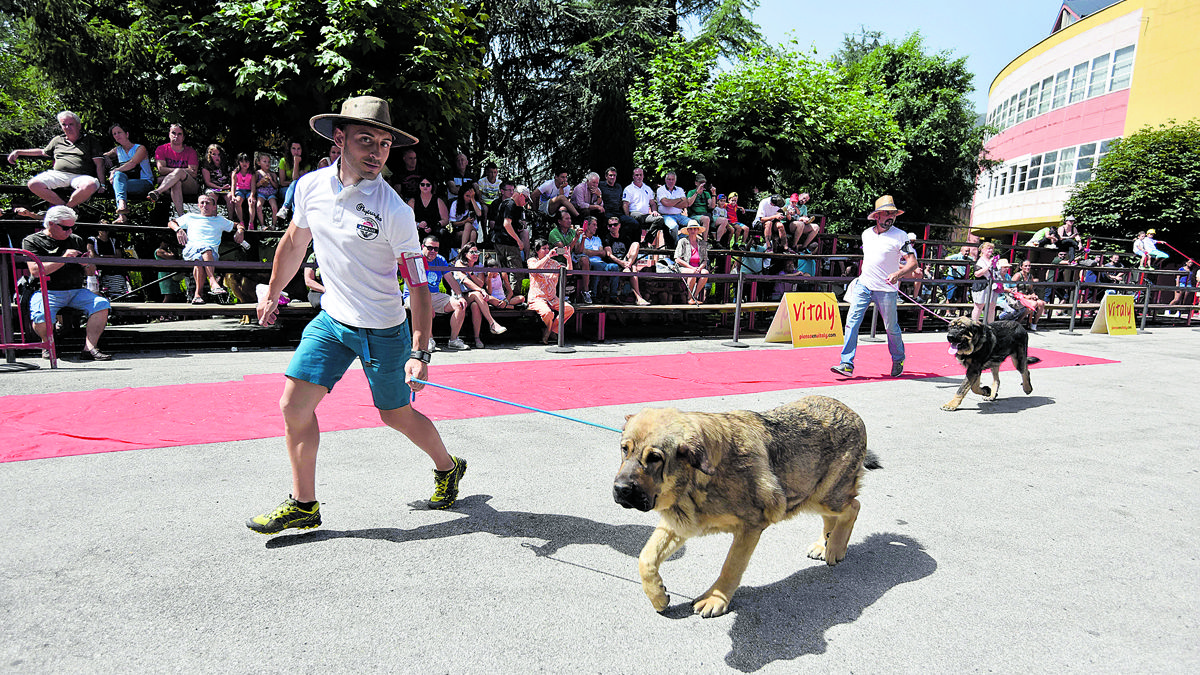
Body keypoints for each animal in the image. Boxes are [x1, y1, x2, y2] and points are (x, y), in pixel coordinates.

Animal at [614, 396, 878, 619]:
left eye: (655, 458)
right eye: (624, 449)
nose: (620, 489)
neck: (698, 478)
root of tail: (852, 413)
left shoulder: (750, 527)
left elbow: (731, 566)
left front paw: (716, 598)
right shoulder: (680, 523)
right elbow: (645, 558)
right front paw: (657, 595)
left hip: (825, 496)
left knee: (853, 507)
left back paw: (835, 547)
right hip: (813, 495)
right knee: (832, 516)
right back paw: (824, 544)